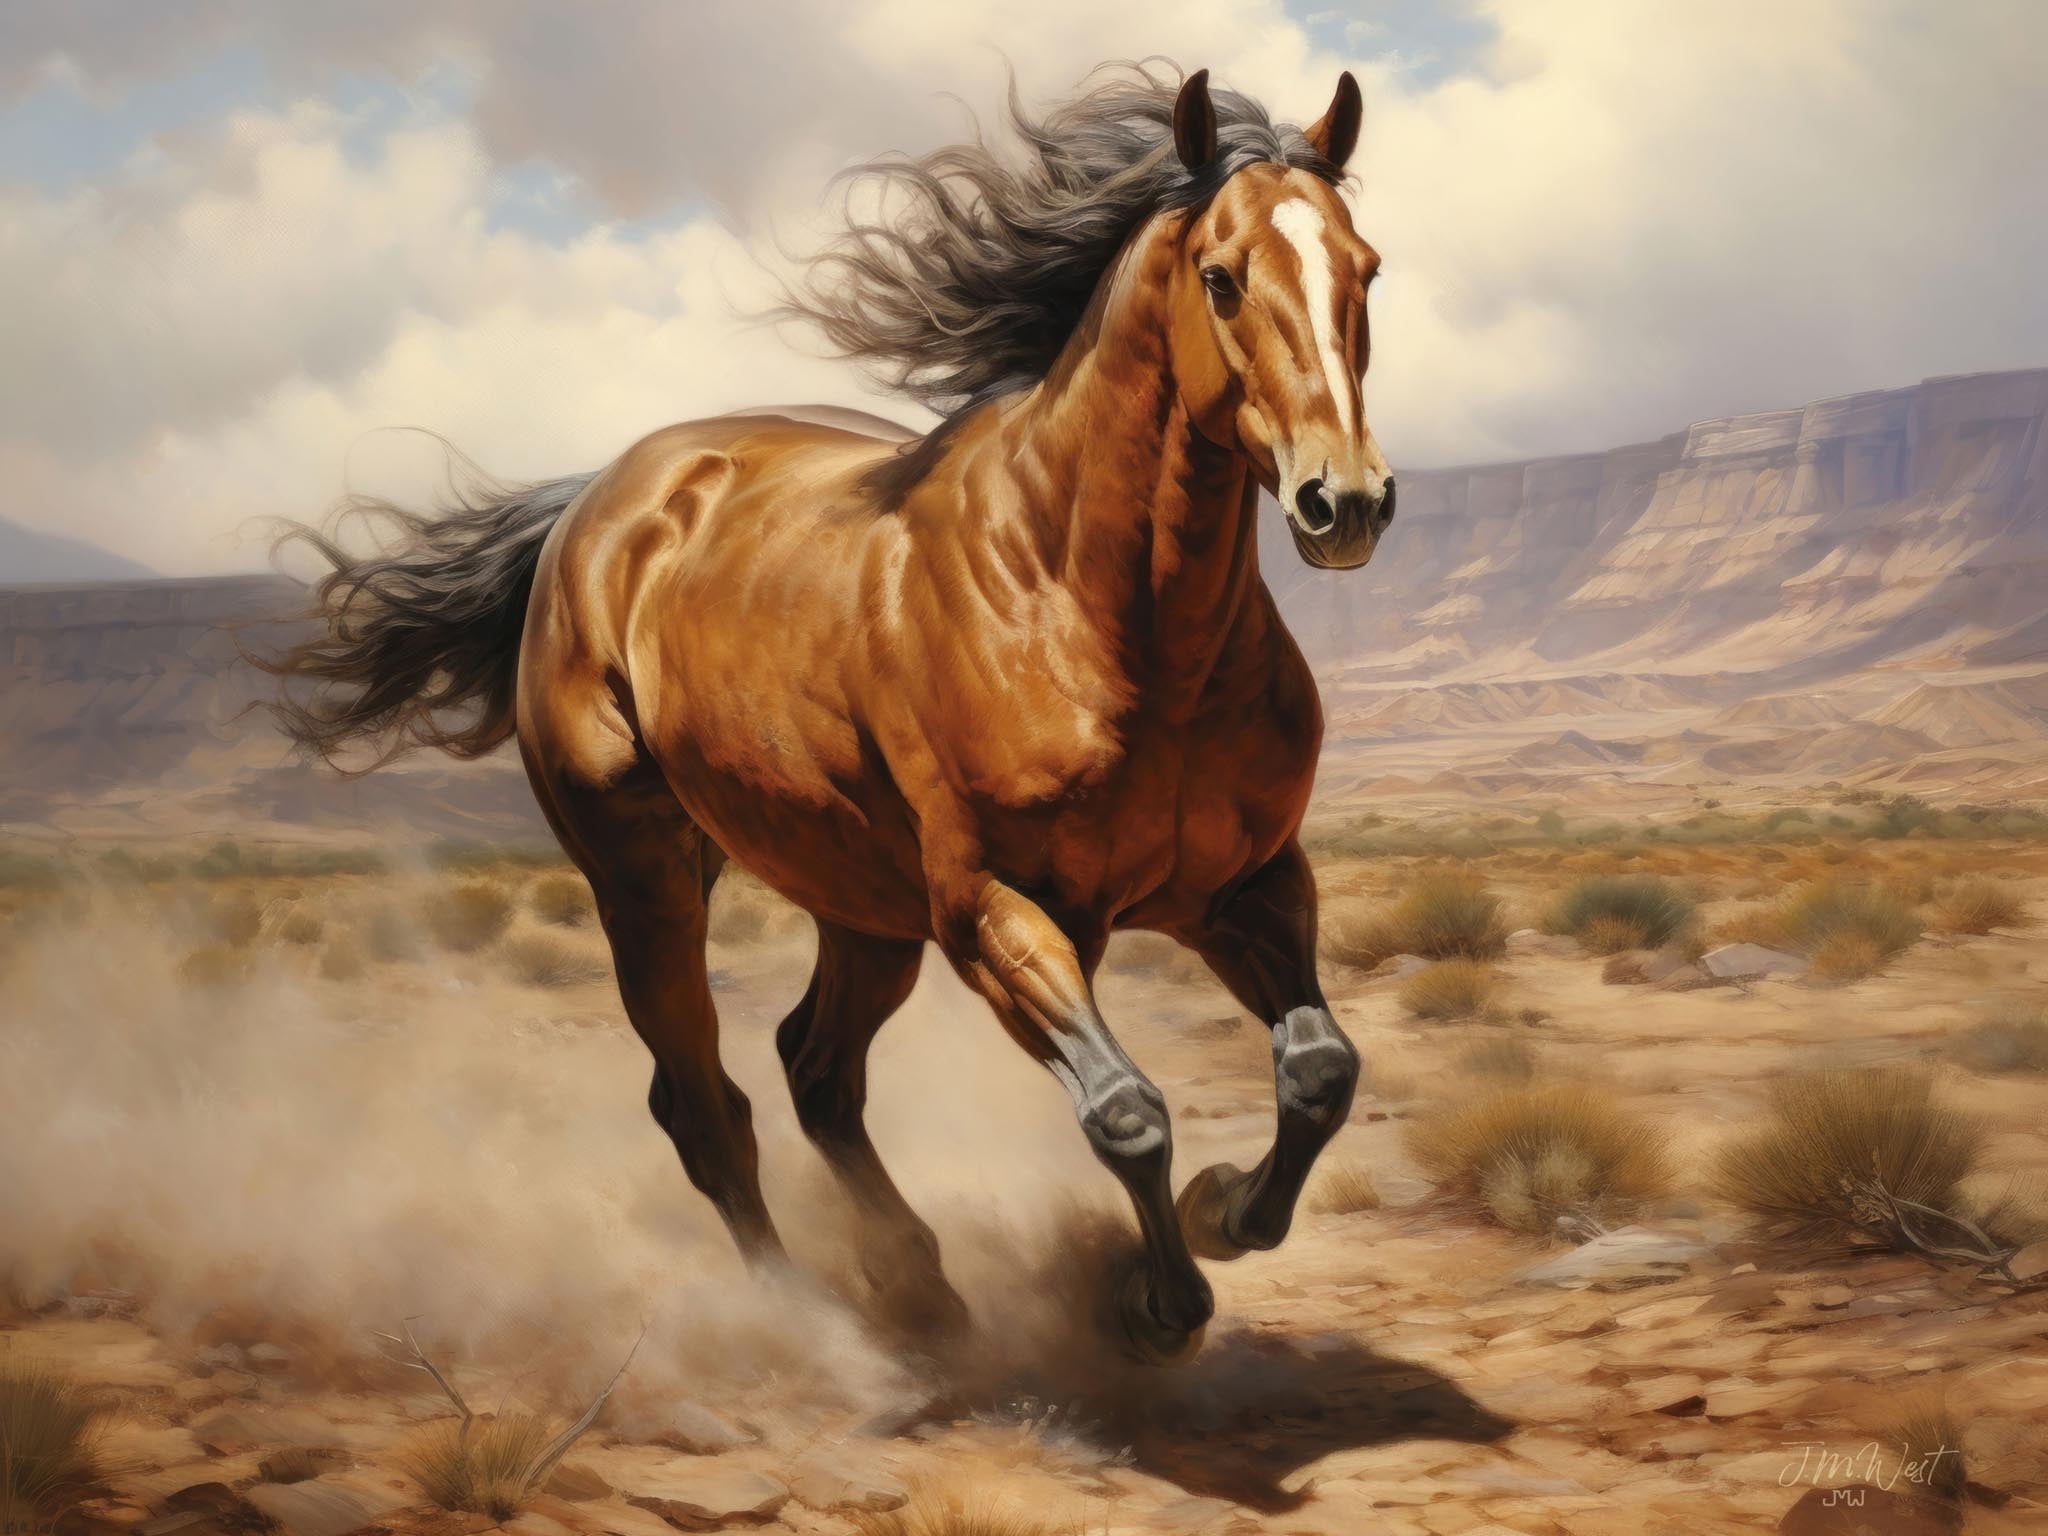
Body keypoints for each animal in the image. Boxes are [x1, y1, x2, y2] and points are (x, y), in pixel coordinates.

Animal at [269, 61, 1395, 1365]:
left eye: (1365, 269)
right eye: (1221, 275)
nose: (1344, 501)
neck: (1109, 629)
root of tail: (595, 505)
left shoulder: (1245, 886)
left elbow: (1320, 1069)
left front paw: (1222, 1212)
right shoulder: (995, 913)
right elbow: (1125, 1110)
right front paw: (1158, 1304)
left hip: (860, 904)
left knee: (813, 1071)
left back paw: (918, 1287)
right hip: (647, 880)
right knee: (704, 1104)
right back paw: (805, 1320)